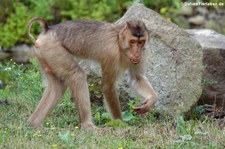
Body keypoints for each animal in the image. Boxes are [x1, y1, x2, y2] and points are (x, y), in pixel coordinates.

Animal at [27, 17, 157, 129]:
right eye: (133, 42)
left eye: (141, 42)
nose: (137, 53)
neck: (119, 42)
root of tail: (48, 29)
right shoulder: (111, 52)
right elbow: (108, 87)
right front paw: (120, 123)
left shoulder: (144, 52)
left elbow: (137, 78)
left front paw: (151, 100)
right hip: (52, 49)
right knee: (77, 75)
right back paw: (87, 125)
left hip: (45, 53)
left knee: (58, 87)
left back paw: (34, 124)